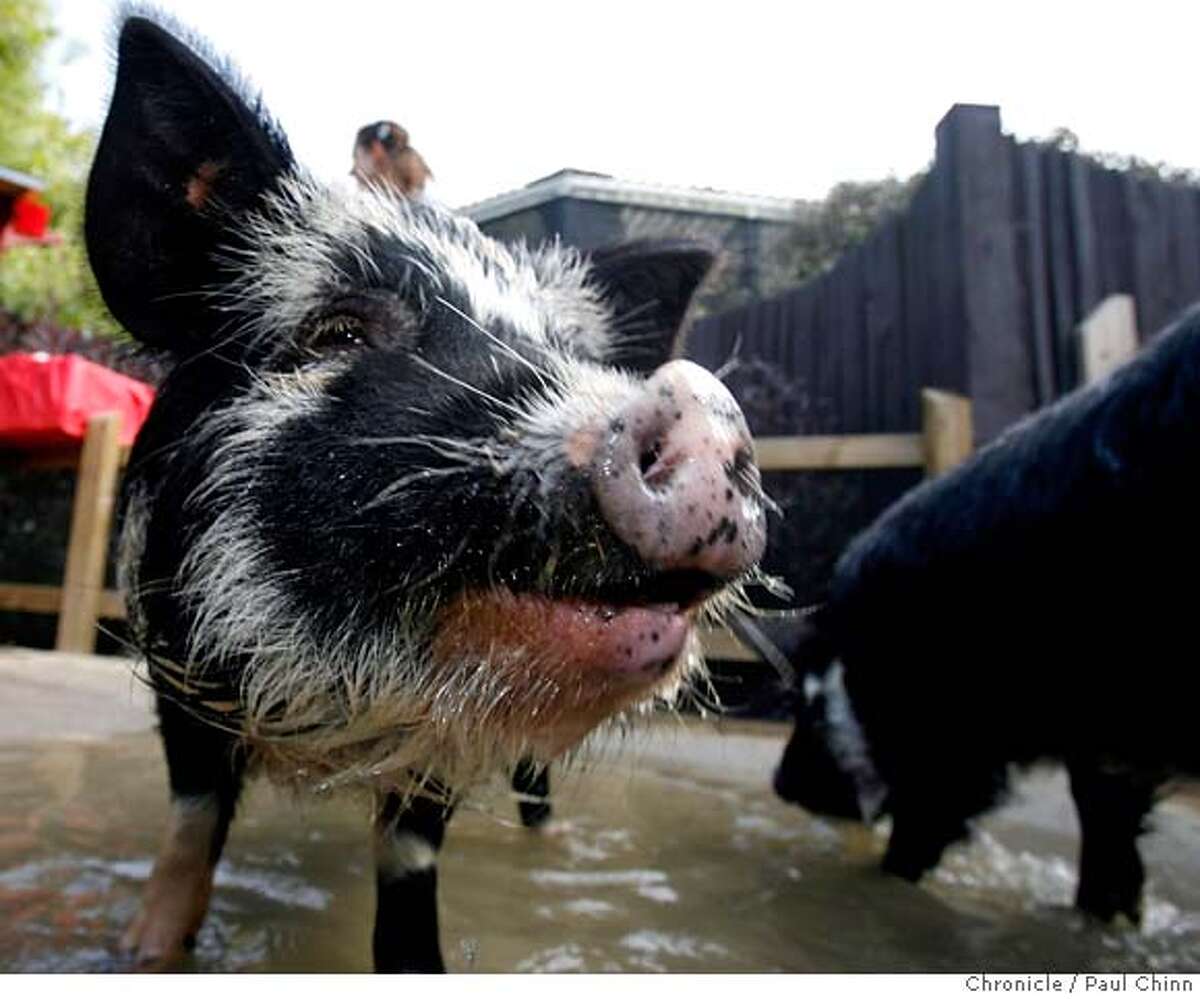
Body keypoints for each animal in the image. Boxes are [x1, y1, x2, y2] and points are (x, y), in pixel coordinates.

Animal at [85, 14, 768, 971]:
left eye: (571, 352)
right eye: (336, 332)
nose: (702, 406)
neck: (325, 724)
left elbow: (409, 872)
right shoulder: (175, 671)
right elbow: (189, 829)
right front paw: (141, 952)